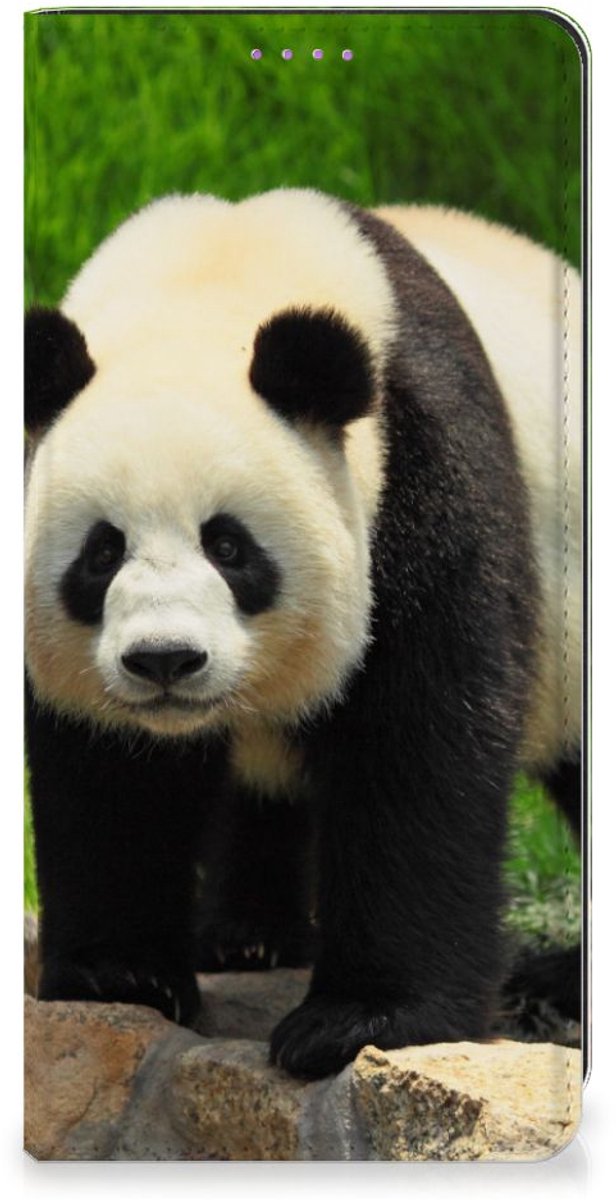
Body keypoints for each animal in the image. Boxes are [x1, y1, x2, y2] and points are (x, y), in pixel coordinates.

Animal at [24, 188, 582, 1080]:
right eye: (101, 552)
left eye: (229, 546)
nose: (165, 660)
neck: (215, 276)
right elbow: (108, 770)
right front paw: (122, 975)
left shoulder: (422, 469)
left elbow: (419, 741)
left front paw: (360, 1021)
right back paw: (247, 936)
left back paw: (557, 982)